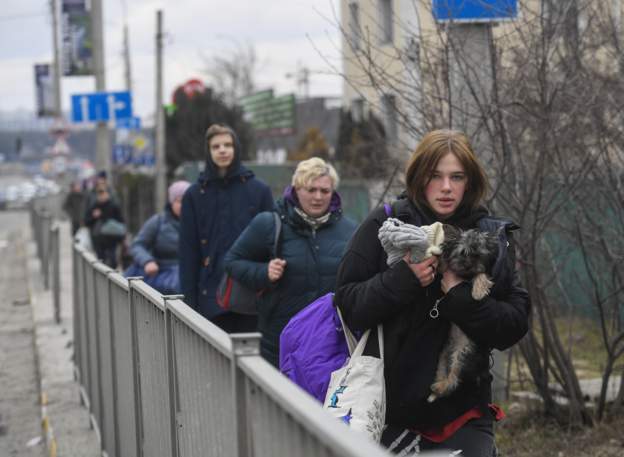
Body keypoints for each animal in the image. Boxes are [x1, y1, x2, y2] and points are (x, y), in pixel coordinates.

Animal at [426, 226, 500, 400]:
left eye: (478, 256)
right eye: (462, 253)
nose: (468, 266)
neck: (464, 276)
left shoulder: (480, 271)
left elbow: (481, 274)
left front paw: (478, 291)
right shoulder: (448, 268)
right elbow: (444, 264)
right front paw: (438, 256)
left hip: (463, 353)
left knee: (454, 379)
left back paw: (440, 387)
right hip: (443, 354)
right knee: (442, 371)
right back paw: (436, 388)